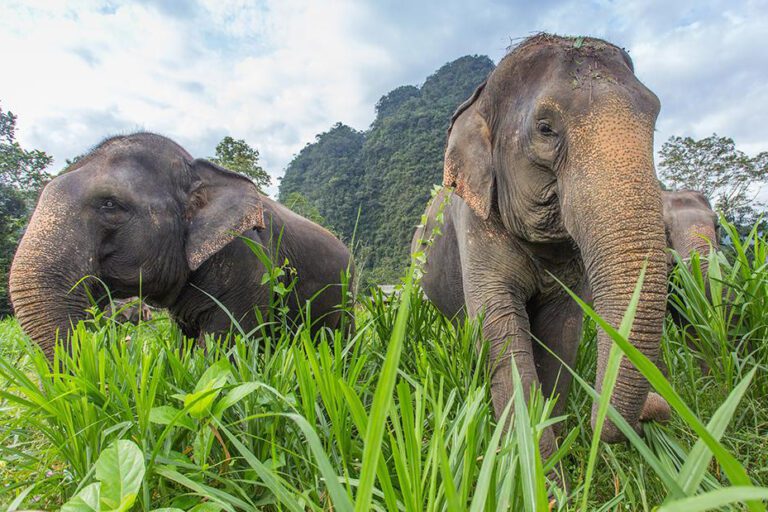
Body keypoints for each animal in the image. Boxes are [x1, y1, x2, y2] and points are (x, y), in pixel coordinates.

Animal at [411, 34, 671, 463]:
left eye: (654, 118)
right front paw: (539, 470)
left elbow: (561, 333)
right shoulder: (475, 225)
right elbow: (500, 331)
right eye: (546, 129)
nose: (657, 408)